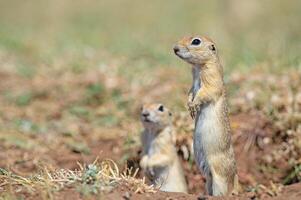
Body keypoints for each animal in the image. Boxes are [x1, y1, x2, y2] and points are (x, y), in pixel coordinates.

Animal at [172, 35, 238, 195]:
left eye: (196, 41)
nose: (175, 48)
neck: (198, 67)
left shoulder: (211, 78)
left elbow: (206, 92)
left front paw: (194, 105)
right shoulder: (192, 83)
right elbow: (190, 92)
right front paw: (189, 105)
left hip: (219, 176)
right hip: (208, 178)